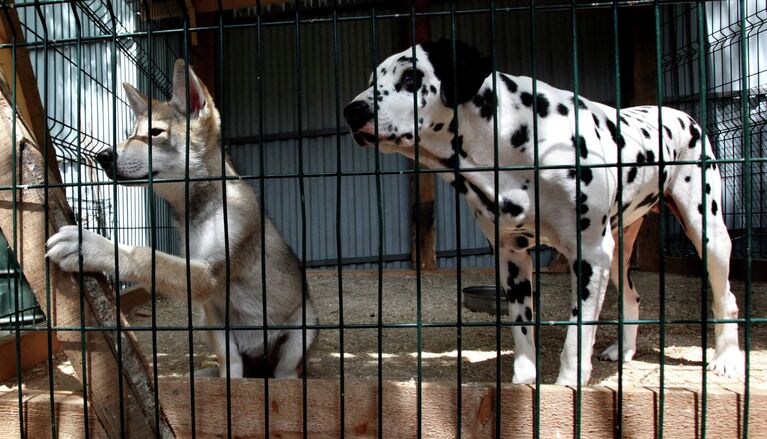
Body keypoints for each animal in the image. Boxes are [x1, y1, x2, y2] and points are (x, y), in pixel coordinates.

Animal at [46, 60, 316, 380]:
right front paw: (226, 385)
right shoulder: (210, 304)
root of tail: (260, 366)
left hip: (303, 327)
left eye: (155, 132)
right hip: (207, 320)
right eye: (131, 133)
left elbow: (147, 256)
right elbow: (229, 363)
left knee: (286, 371)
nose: (103, 156)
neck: (197, 210)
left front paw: (89, 245)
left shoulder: (207, 273)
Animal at [344, 40, 740, 384]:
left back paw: (725, 359)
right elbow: (522, 331)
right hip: (617, 254)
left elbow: (576, 337)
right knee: (632, 297)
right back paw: (624, 351)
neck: (509, 142)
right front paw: (523, 384)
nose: (353, 111)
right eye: (373, 81)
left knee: (727, 299)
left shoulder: (588, 254)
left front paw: (568, 387)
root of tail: (681, 114)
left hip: (705, 233)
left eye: (411, 77)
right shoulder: (512, 257)